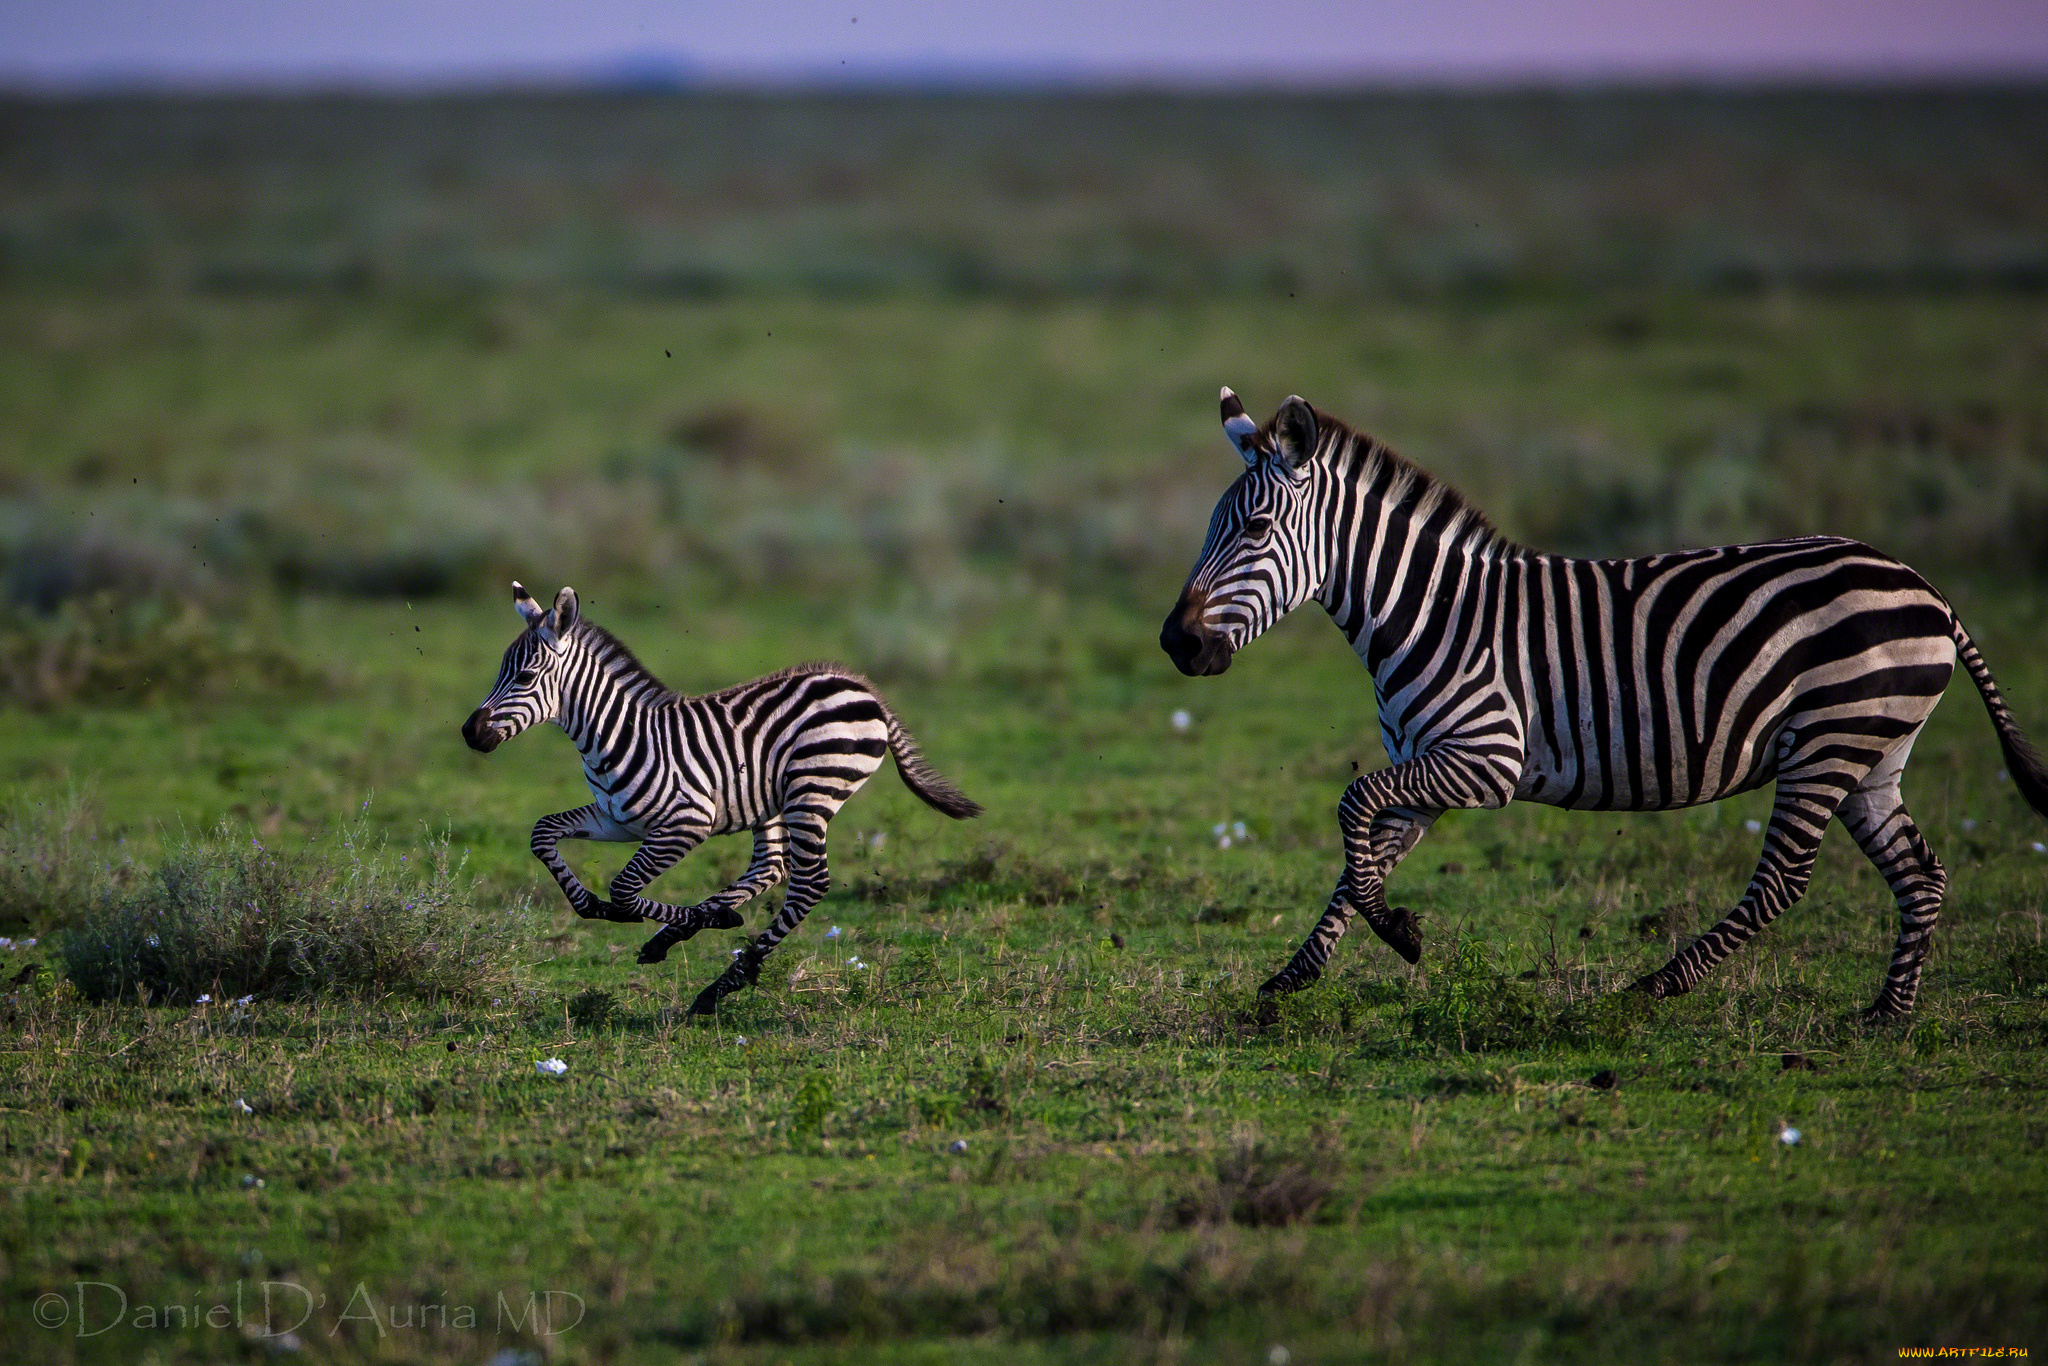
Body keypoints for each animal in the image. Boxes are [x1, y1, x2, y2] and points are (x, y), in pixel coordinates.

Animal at [464, 585, 974, 1015]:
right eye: (502, 672)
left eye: (526, 675)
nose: (470, 733)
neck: (614, 735)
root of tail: (860, 685)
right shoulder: (616, 820)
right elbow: (543, 834)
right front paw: (600, 908)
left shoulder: (685, 824)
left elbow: (624, 890)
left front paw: (701, 919)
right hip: (773, 801)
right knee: (771, 867)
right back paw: (685, 936)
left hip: (812, 790)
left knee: (808, 883)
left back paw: (719, 984)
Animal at [1171, 389, 2048, 1019]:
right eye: (1213, 525)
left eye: (1254, 528)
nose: (1175, 644)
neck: (1429, 610)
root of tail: (1926, 588)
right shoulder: (1426, 767)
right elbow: (1361, 860)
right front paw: (1303, 972)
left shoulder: (1485, 758)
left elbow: (1352, 807)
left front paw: (1397, 936)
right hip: (1873, 751)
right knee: (1920, 873)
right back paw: (1888, 1014)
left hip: (1828, 741)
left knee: (1784, 878)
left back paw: (1657, 986)